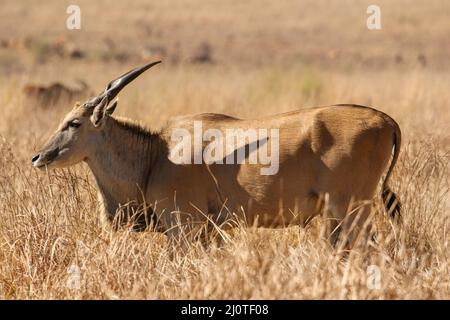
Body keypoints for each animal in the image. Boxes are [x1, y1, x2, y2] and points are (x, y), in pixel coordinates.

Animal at [31, 62, 400, 248]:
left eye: (74, 123)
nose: (38, 157)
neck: (157, 155)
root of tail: (385, 120)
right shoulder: (211, 231)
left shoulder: (183, 226)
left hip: (350, 208)